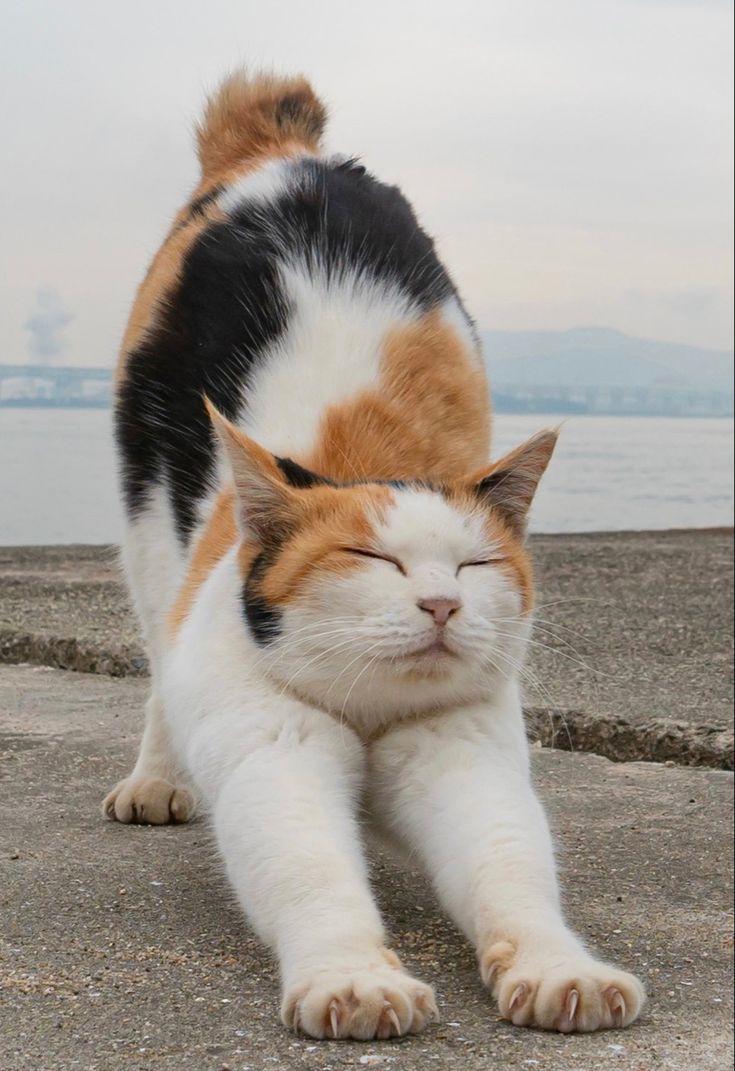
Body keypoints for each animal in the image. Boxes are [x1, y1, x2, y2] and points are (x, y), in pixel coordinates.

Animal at [103, 71, 642, 1041]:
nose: (441, 605)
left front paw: (558, 969)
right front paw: (353, 979)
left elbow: (511, 868)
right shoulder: (273, 748)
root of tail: (282, 152)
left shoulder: (461, 754)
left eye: (474, 566)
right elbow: (310, 869)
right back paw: (157, 780)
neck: (366, 707)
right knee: (161, 646)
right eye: (370, 557)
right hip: (149, 519)